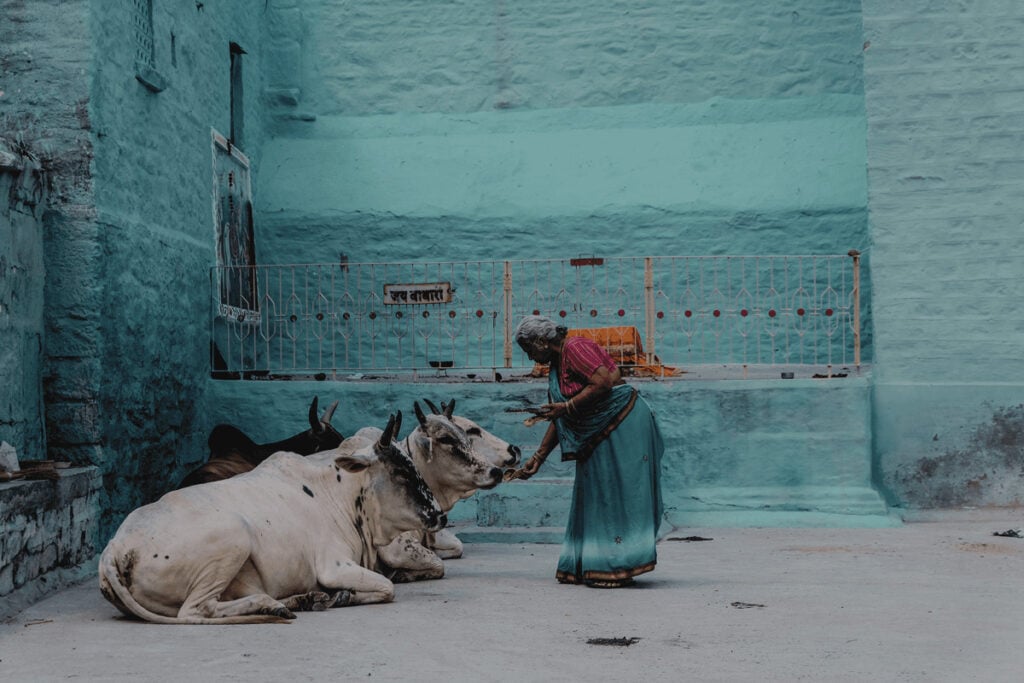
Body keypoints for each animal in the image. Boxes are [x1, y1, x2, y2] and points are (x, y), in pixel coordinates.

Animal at [99, 413, 445, 624]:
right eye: (401, 472)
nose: (440, 515)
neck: (339, 493)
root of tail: (114, 549)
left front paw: (334, 596)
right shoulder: (334, 566)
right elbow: (387, 586)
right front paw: (343, 596)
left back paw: (302, 599)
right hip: (234, 535)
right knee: (196, 609)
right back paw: (271, 604)